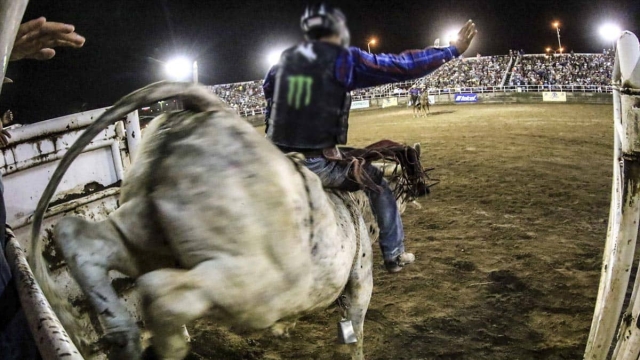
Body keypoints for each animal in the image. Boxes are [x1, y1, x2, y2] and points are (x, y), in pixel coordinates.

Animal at [27, 82, 418, 360]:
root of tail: (212, 108)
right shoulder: (360, 279)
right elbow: (356, 328)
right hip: (251, 282)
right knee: (163, 294)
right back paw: (165, 345)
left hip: (145, 234)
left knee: (81, 240)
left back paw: (123, 336)